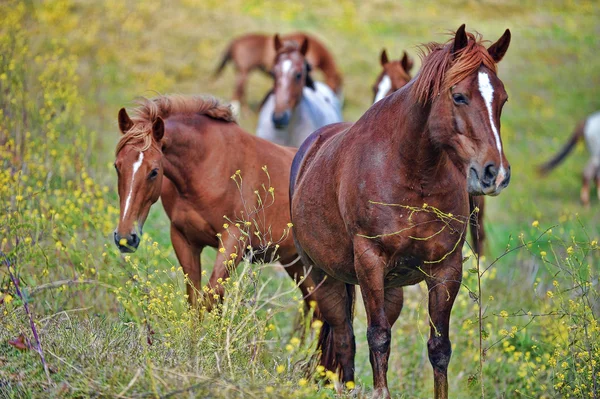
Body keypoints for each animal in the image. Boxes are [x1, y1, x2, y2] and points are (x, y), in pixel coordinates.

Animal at [114, 94, 316, 312]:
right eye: (117, 166)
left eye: (154, 171)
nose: (125, 238)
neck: (205, 167)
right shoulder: (184, 239)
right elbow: (195, 301)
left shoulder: (233, 240)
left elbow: (211, 297)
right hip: (297, 263)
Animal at [213, 30, 342, 112]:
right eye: (337, 87)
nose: (338, 102)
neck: (315, 49)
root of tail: (235, 42)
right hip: (243, 72)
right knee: (238, 91)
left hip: (242, 72)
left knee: (241, 92)